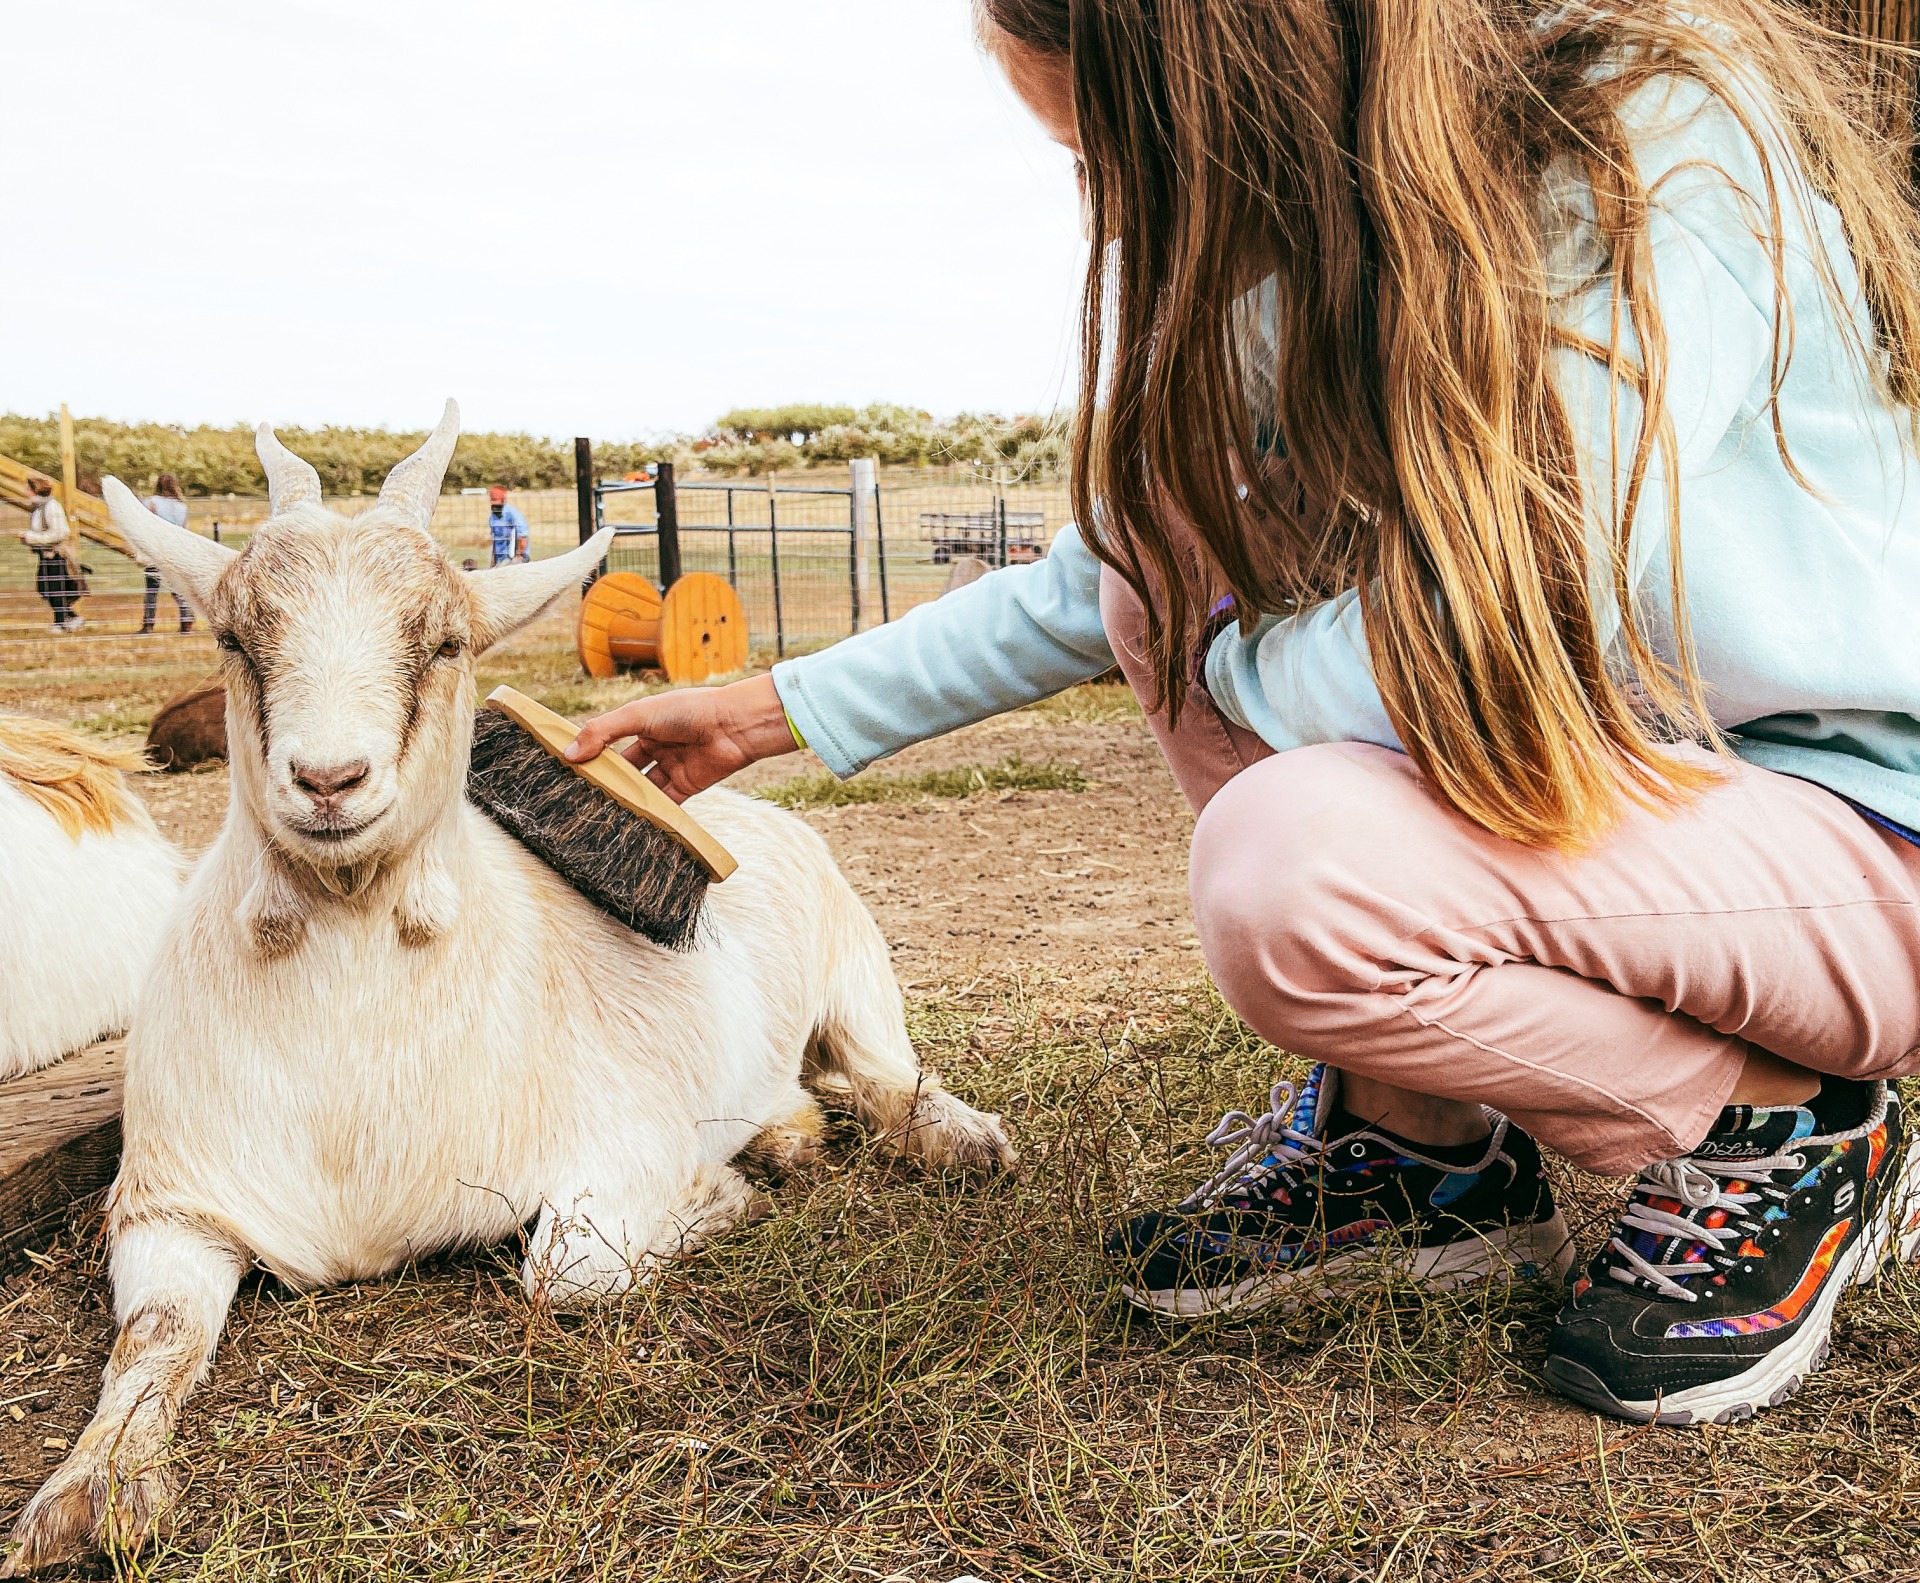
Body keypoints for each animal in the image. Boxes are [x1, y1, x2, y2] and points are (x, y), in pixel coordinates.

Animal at [3, 399, 1021, 1567]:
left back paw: (941, 1137)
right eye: (233, 637)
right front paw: (89, 1492)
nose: (328, 780)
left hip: (856, 965)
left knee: (889, 1074)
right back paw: (787, 1133)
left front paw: (720, 1192)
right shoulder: (174, 1200)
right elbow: (154, 1331)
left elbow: (565, 1267)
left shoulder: (622, 1138)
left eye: (446, 641)